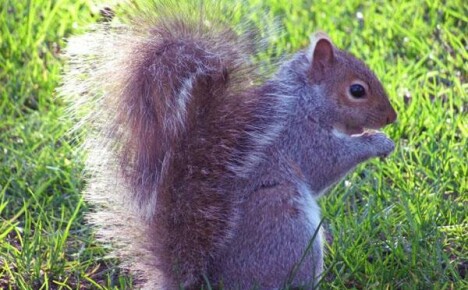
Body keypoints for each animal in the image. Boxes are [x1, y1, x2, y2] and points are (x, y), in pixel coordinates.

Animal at [61, 1, 398, 288]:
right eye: (357, 90)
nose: (392, 117)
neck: (303, 99)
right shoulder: (297, 137)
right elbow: (325, 163)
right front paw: (378, 143)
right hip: (283, 224)